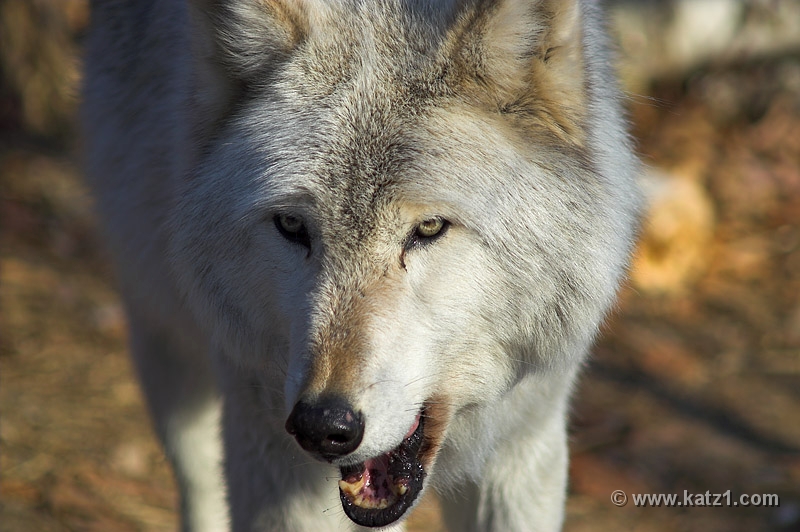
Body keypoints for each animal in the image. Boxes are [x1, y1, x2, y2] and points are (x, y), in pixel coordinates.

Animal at [82, 0, 639, 530]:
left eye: (429, 228)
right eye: (291, 225)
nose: (321, 426)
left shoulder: (524, 440)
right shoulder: (270, 441)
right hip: (165, 339)